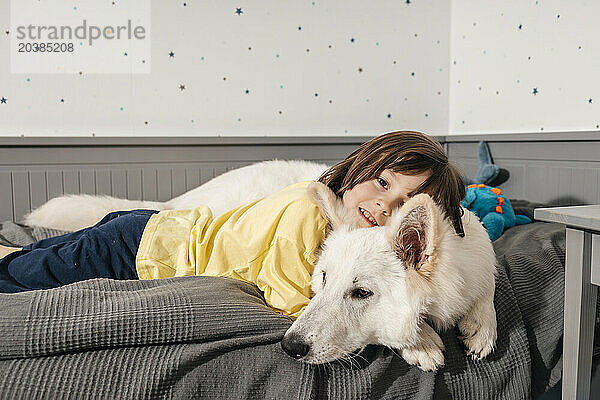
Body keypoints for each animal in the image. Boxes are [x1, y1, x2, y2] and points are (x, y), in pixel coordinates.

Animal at [282, 183, 496, 370]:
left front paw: (481, 327)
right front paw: (422, 342)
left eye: (362, 292)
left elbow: (488, 286)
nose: (289, 346)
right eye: (324, 277)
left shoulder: (480, 261)